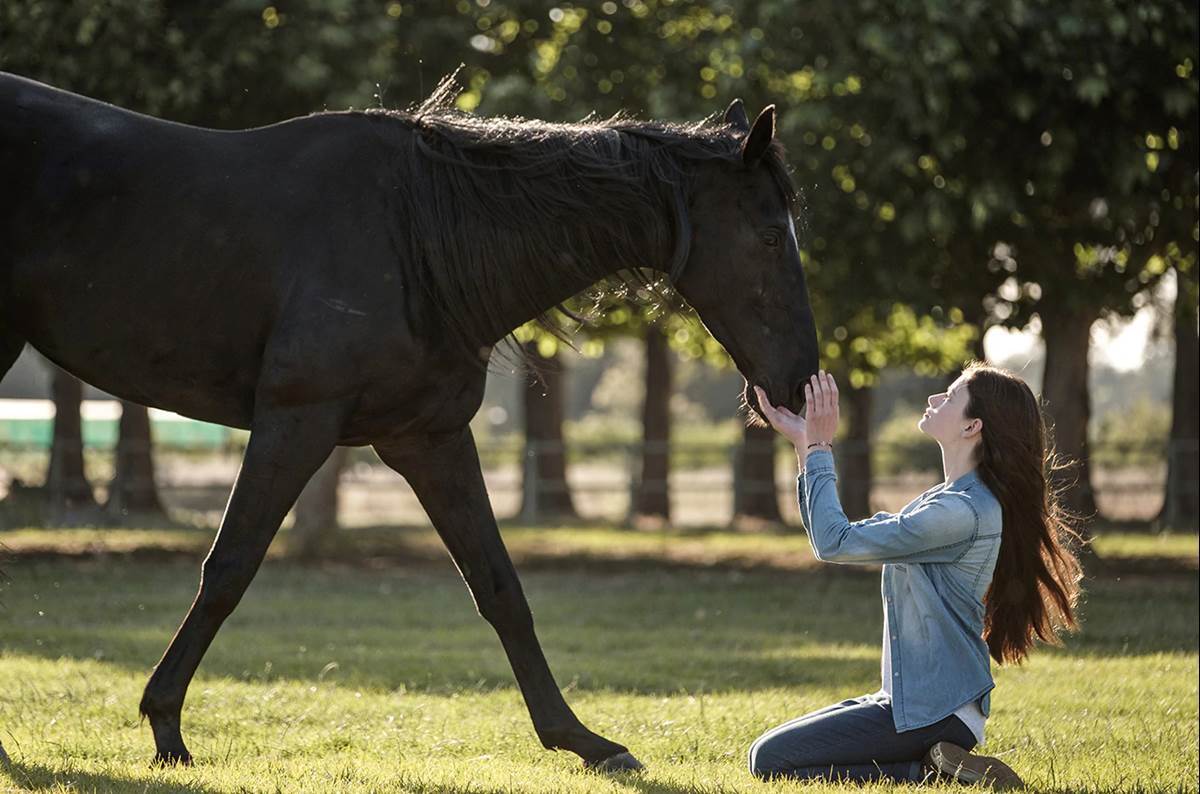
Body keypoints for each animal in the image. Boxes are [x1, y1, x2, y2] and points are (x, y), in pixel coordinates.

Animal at [0, 72, 819, 771]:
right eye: (767, 236)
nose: (799, 385)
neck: (415, 238)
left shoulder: (427, 439)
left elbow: (499, 587)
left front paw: (581, 740)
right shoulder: (296, 422)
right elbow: (228, 568)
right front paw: (166, 728)